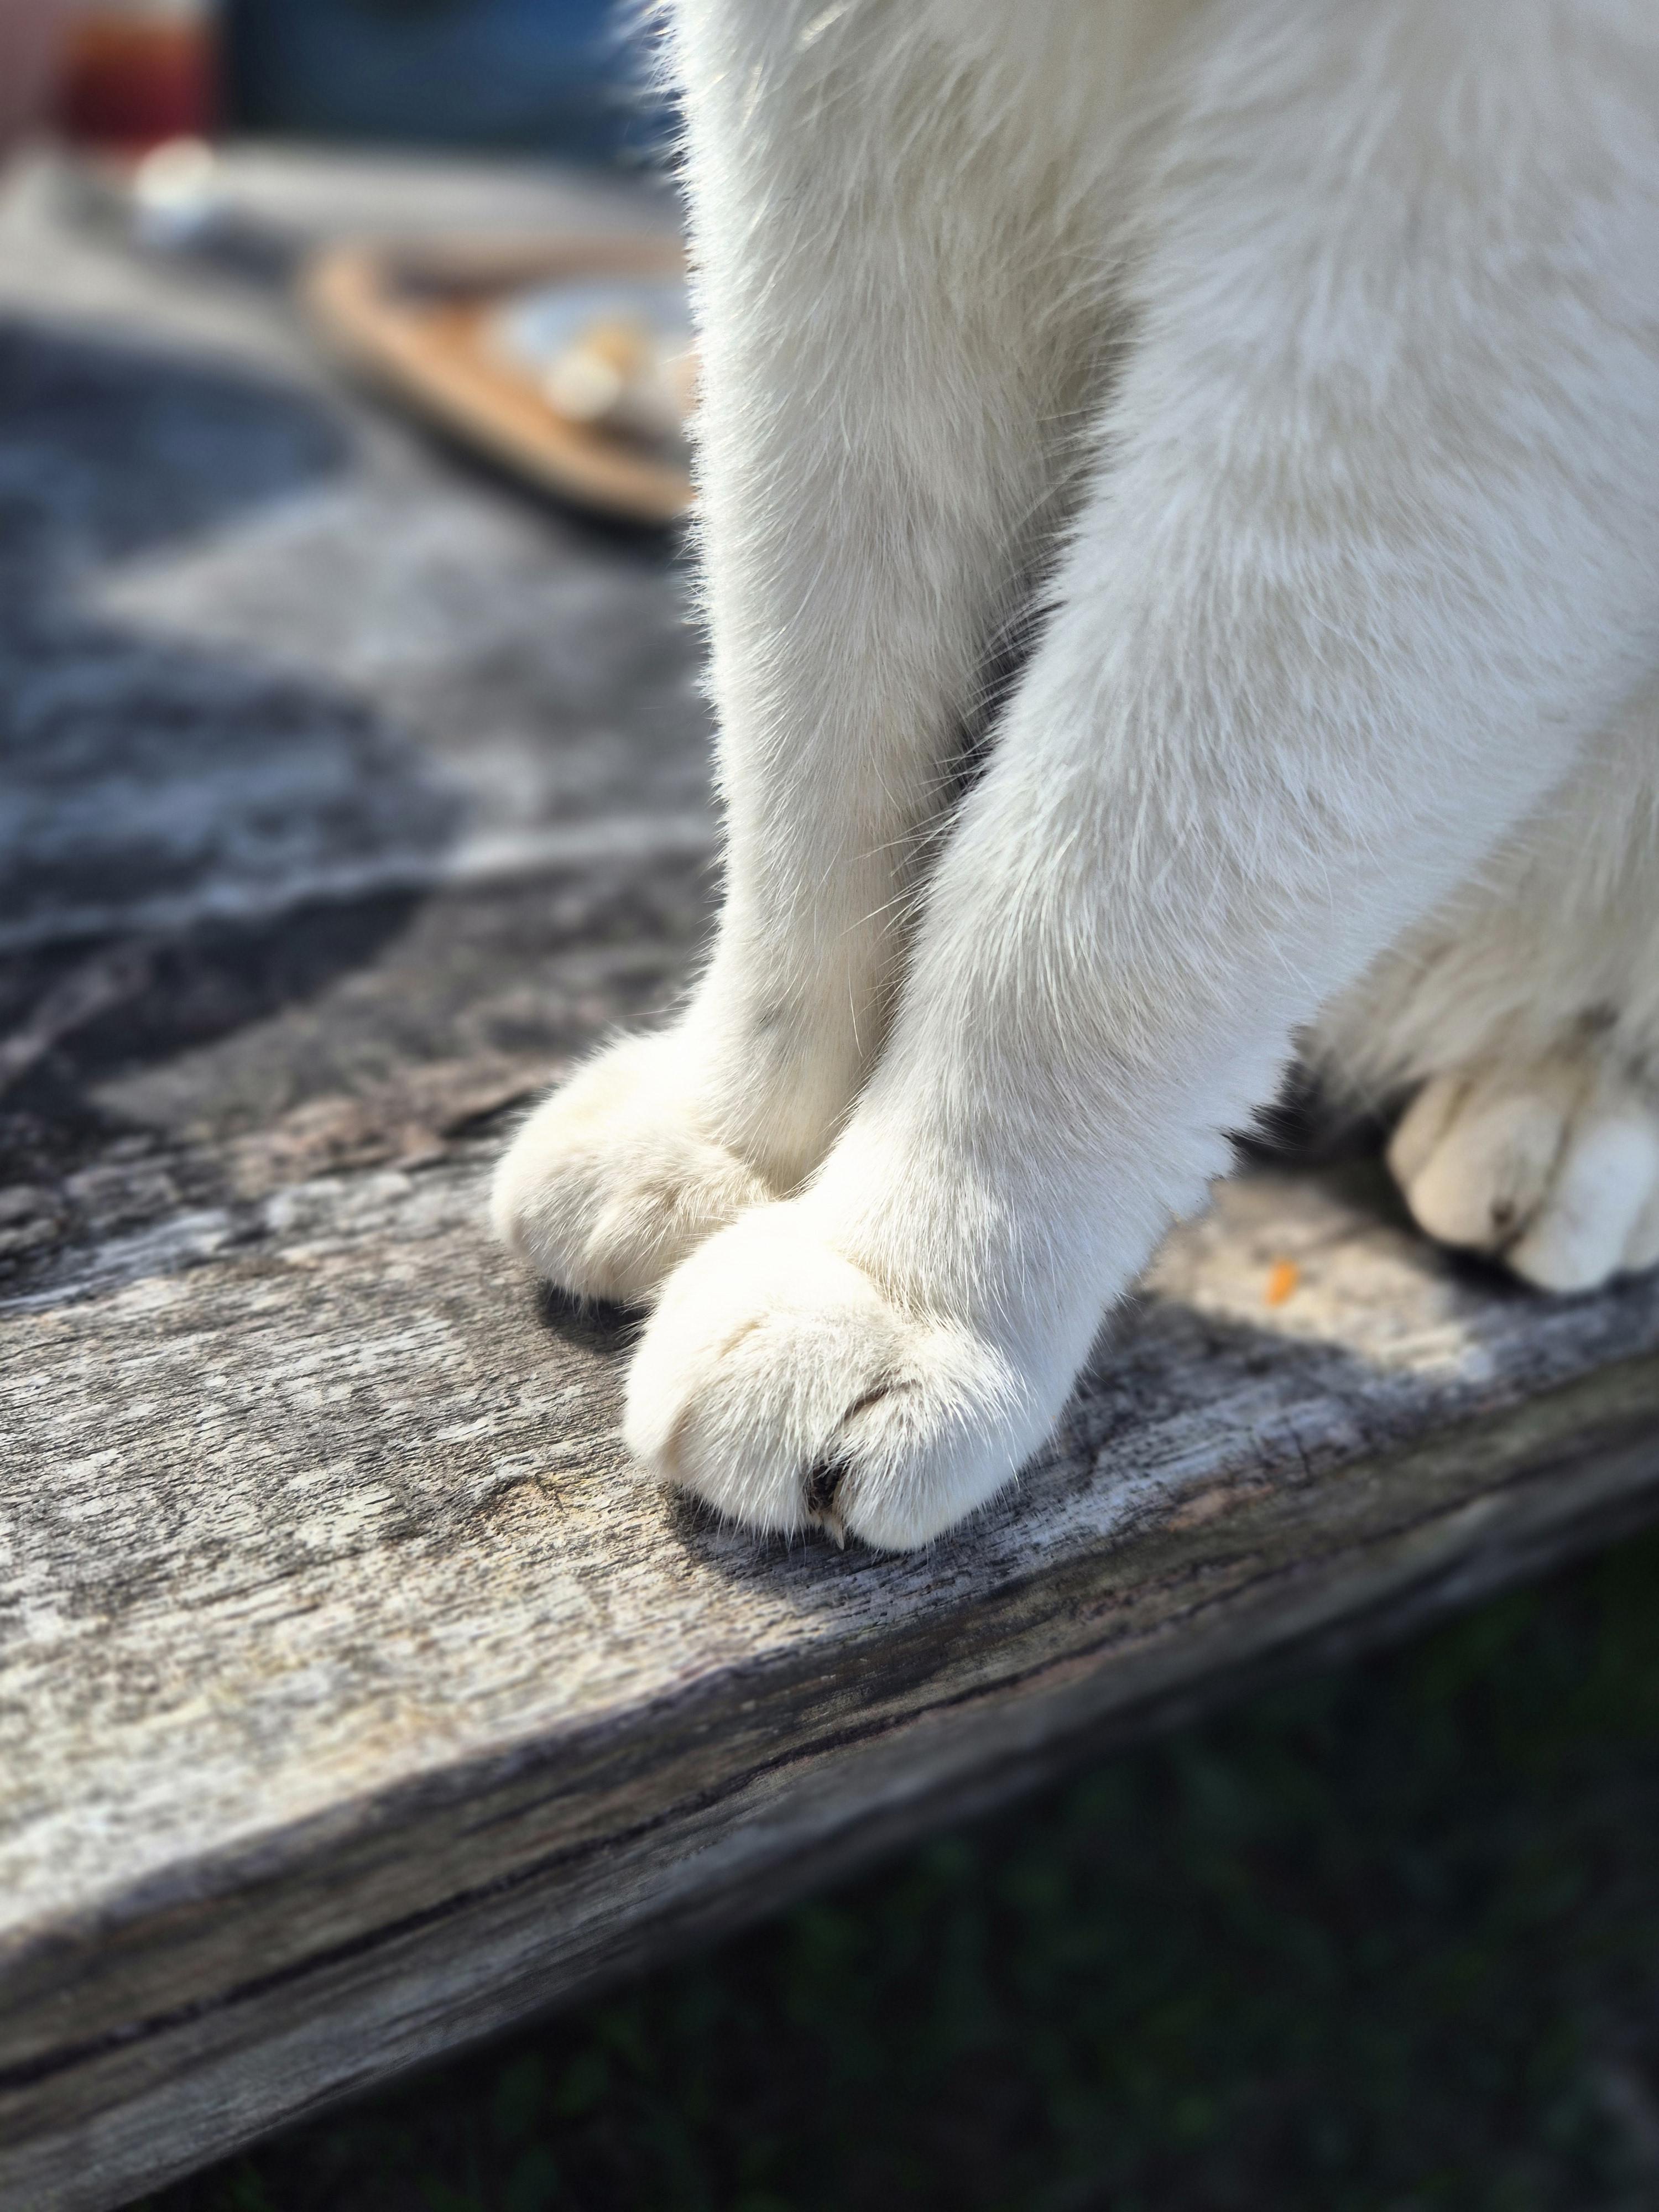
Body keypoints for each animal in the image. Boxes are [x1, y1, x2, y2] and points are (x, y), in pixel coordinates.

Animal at [491, 4, 1659, 1557]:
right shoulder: (833, 97)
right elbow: (808, 705)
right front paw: (733, 1134)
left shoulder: (1477, 265)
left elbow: (1087, 905)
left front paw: (895, 1286)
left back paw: (1576, 1101)